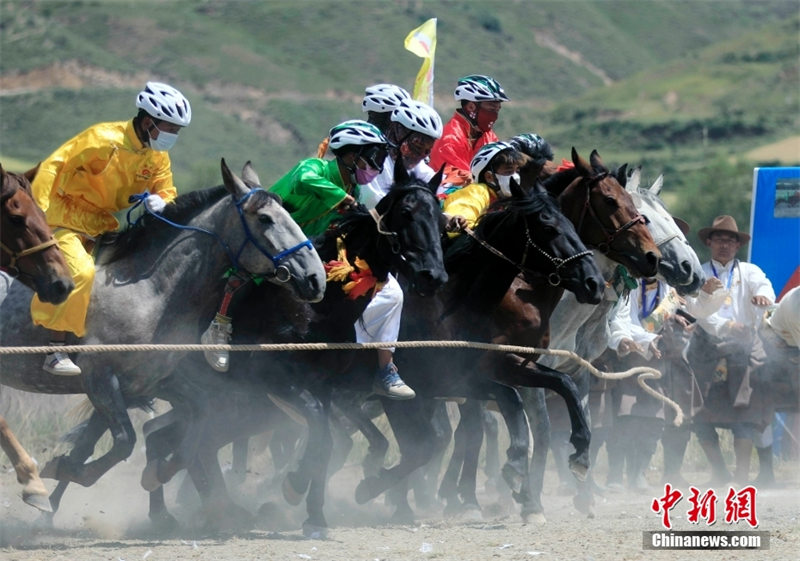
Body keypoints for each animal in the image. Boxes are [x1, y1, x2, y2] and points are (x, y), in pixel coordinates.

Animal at [0, 159, 324, 520]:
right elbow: (124, 441)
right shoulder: (100, 377)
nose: (316, 277)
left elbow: (193, 426)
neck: (150, 291)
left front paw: (158, 473)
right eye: (265, 218)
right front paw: (60, 472)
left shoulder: (149, 382)